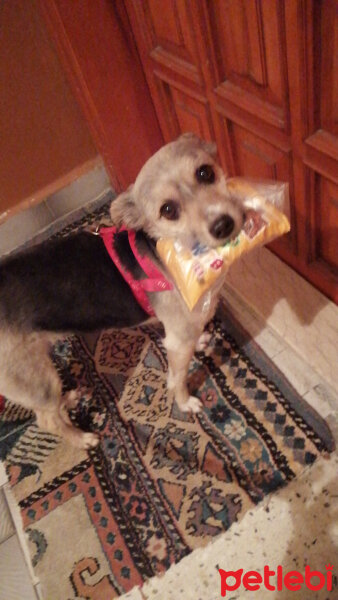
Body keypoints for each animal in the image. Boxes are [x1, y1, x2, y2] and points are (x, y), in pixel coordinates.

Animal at [0, 134, 244, 448]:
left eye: (205, 173)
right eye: (168, 210)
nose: (223, 224)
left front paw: (202, 341)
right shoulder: (177, 341)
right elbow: (177, 378)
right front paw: (185, 403)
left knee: (50, 408)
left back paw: (69, 399)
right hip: (34, 380)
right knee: (47, 420)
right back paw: (82, 439)